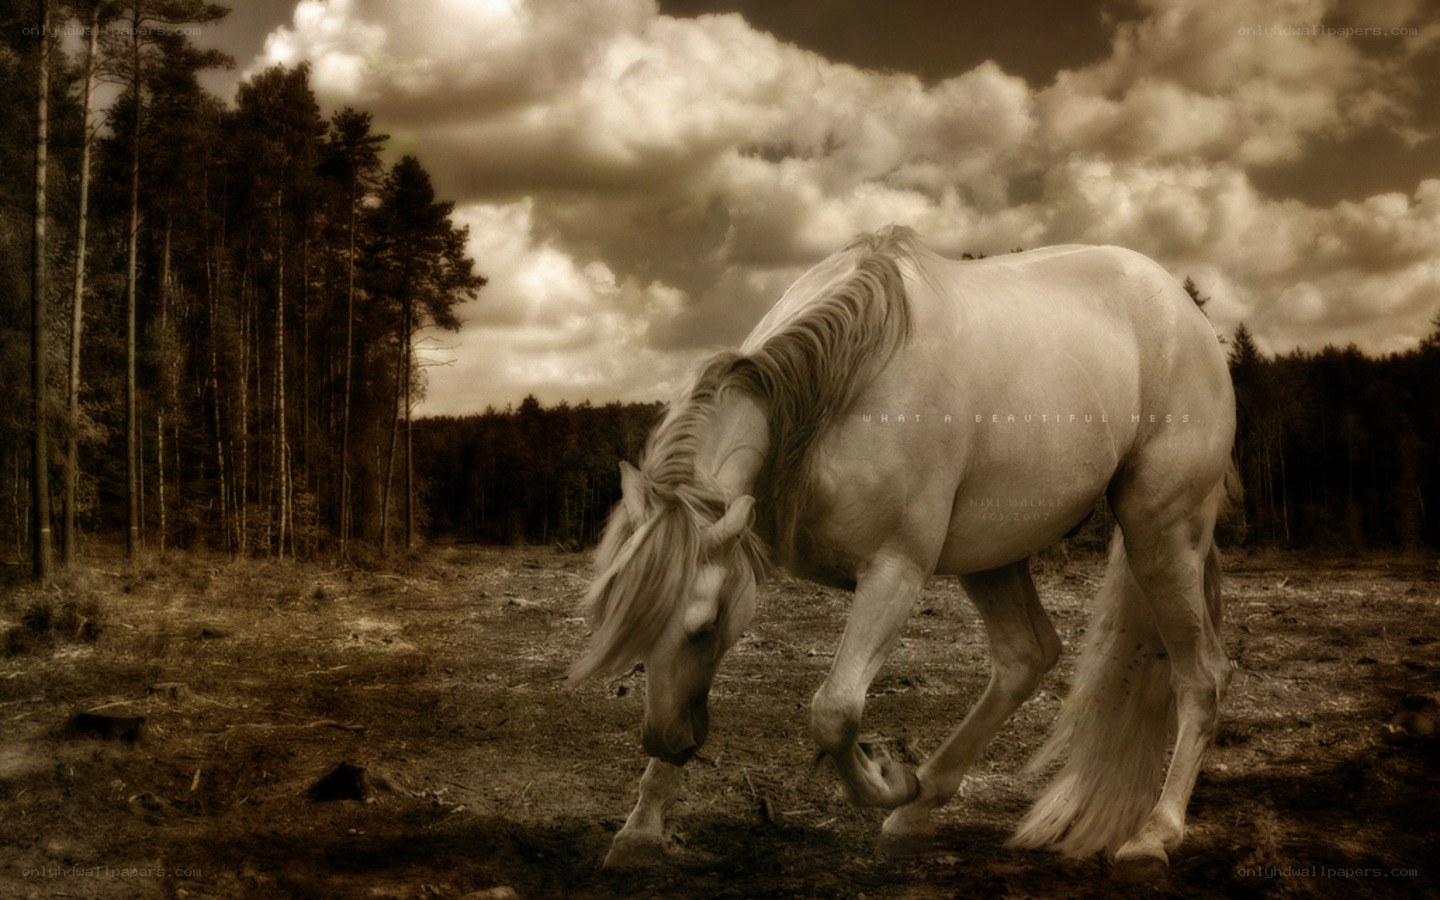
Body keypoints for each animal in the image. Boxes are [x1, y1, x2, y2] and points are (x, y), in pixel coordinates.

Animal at [569, 225, 1237, 881]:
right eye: (628, 626)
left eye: (703, 627)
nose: (668, 741)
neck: (834, 390)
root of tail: (1182, 310)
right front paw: (640, 831)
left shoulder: (895, 571)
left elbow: (835, 711)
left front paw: (887, 779)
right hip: (993, 556)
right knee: (1026, 655)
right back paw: (919, 809)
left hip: (1160, 537)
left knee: (1202, 676)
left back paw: (1153, 835)